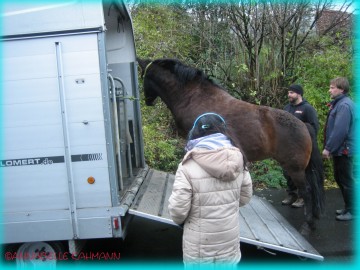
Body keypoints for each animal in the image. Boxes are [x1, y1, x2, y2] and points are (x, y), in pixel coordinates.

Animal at [137, 58, 324, 234]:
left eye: (143, 76)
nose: (147, 101)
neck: (193, 97)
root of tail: (304, 125)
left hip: (295, 169)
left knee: (307, 191)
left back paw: (308, 225)